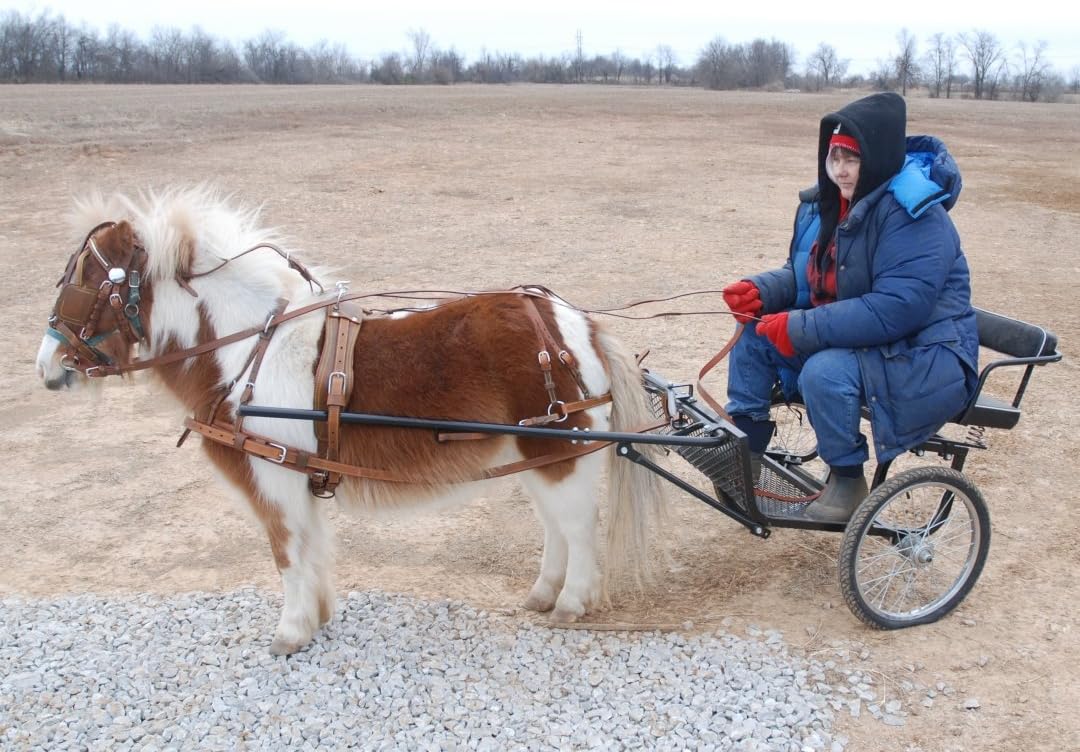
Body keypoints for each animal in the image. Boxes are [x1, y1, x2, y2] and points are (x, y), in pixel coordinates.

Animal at [35, 187, 664, 655]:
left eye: (85, 281)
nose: (47, 366)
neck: (249, 353)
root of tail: (573, 322)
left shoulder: (273, 483)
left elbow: (286, 553)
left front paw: (290, 633)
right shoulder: (298, 477)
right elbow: (309, 549)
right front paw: (316, 617)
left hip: (559, 454)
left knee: (578, 527)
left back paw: (570, 603)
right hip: (538, 456)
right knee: (557, 527)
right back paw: (543, 594)